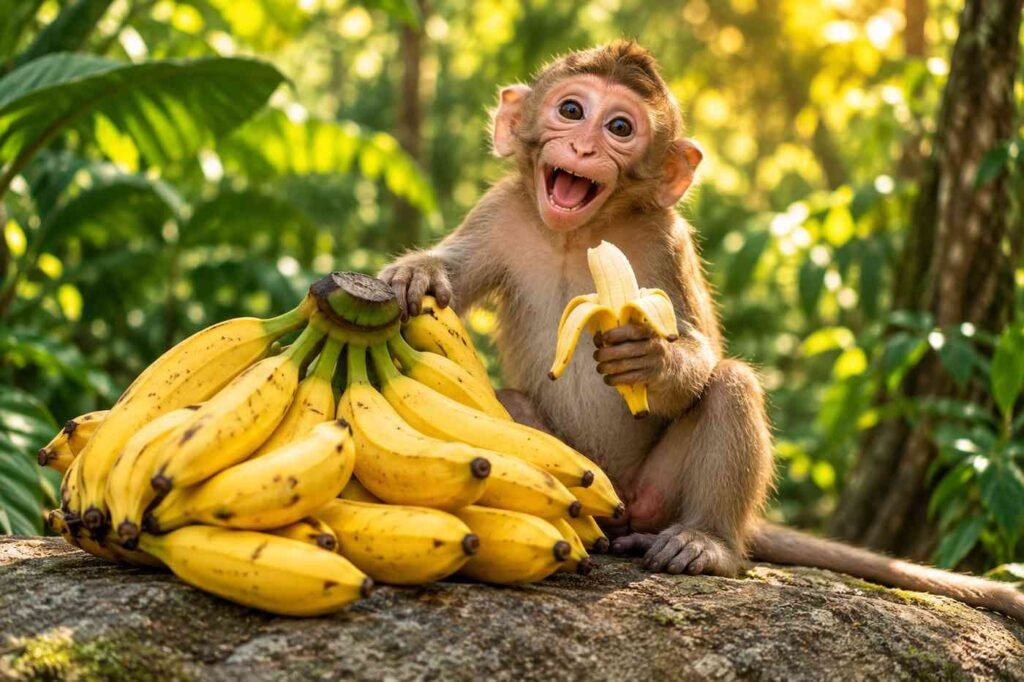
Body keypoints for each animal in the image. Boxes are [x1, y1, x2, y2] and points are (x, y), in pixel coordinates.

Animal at [379, 41, 1024, 621]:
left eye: (620, 127)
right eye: (570, 109)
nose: (584, 145)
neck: (578, 233)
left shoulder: (665, 239)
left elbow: (697, 346)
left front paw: (651, 359)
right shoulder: (501, 211)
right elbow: (456, 272)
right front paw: (419, 273)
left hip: (660, 493)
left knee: (731, 385)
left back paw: (707, 542)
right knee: (511, 405)